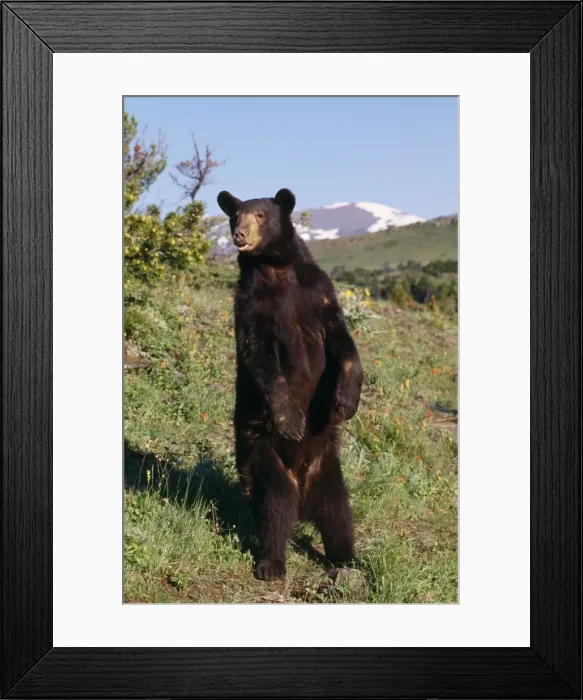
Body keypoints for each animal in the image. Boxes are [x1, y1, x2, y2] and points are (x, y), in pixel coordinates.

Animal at [217, 187, 363, 580]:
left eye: (261, 215)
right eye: (234, 215)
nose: (239, 235)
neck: (276, 269)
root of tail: (303, 493)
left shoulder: (319, 292)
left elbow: (343, 341)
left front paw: (346, 402)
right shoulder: (251, 306)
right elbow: (261, 359)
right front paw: (293, 420)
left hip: (327, 468)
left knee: (338, 512)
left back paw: (346, 558)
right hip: (265, 456)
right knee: (275, 509)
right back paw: (271, 563)